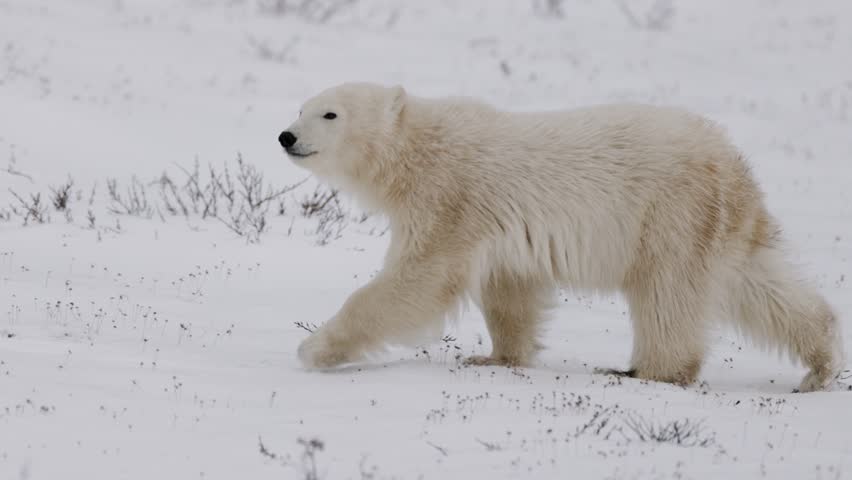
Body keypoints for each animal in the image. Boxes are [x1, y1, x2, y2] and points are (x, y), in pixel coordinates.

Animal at [279, 82, 845, 392]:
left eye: (330, 113)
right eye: (301, 106)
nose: (286, 135)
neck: (418, 147)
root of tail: (733, 164)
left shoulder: (450, 197)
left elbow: (418, 281)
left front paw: (314, 349)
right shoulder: (494, 226)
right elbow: (510, 290)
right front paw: (495, 357)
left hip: (669, 213)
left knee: (668, 294)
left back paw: (647, 371)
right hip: (720, 224)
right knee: (760, 287)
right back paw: (820, 365)